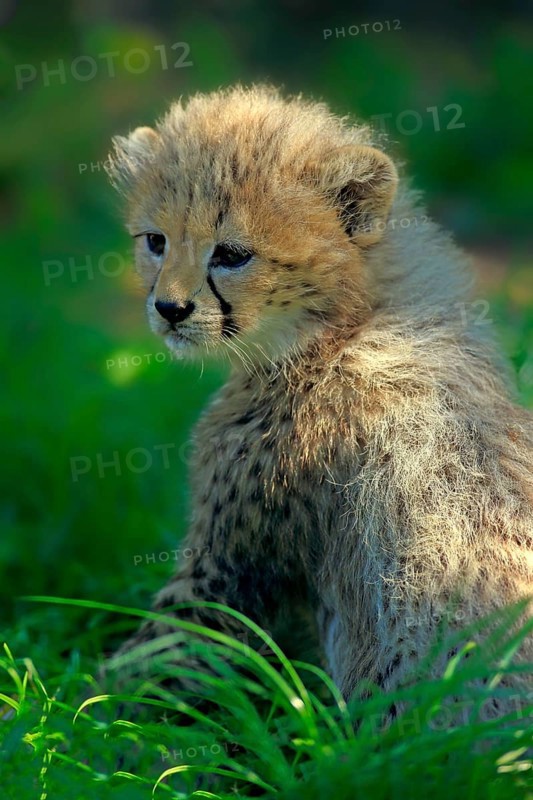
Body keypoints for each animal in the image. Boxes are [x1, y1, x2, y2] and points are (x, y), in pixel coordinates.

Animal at [106, 85, 533, 713]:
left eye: (231, 254)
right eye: (155, 242)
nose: (169, 310)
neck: (343, 324)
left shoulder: (228, 568)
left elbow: (149, 664)